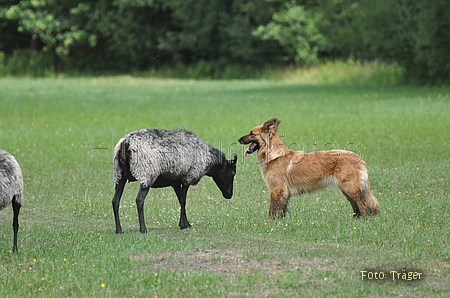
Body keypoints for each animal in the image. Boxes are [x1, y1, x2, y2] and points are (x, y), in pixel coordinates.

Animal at [239, 118, 380, 219]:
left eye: (251, 133)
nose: (238, 139)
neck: (274, 154)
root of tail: (360, 158)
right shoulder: (284, 193)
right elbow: (282, 209)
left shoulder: (276, 190)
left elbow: (273, 209)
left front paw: (269, 222)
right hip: (347, 190)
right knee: (356, 206)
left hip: (351, 188)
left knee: (363, 205)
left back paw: (364, 222)